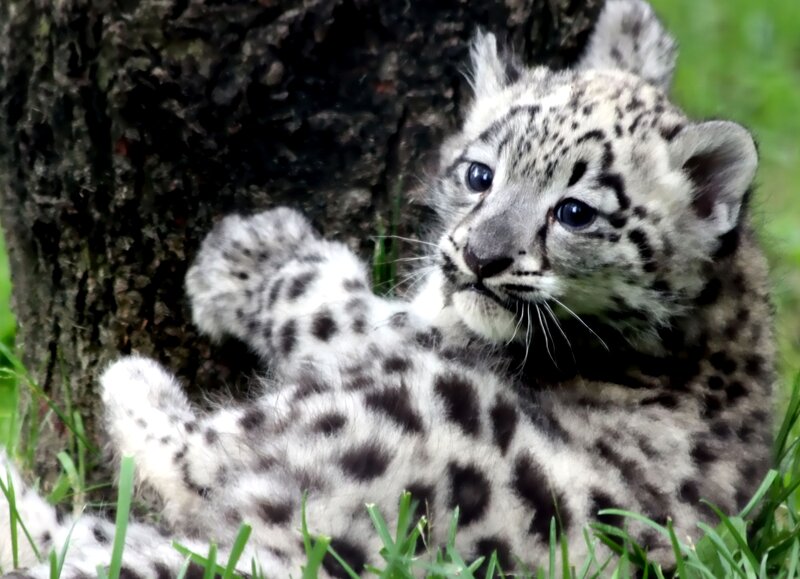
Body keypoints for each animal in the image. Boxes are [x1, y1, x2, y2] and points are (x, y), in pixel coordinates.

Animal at [0, 0, 776, 576]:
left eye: (576, 212)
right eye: (479, 174)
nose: (480, 258)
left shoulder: (413, 331)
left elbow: (320, 300)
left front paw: (250, 256)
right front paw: (631, 31)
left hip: (395, 400)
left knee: (187, 463)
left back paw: (134, 380)